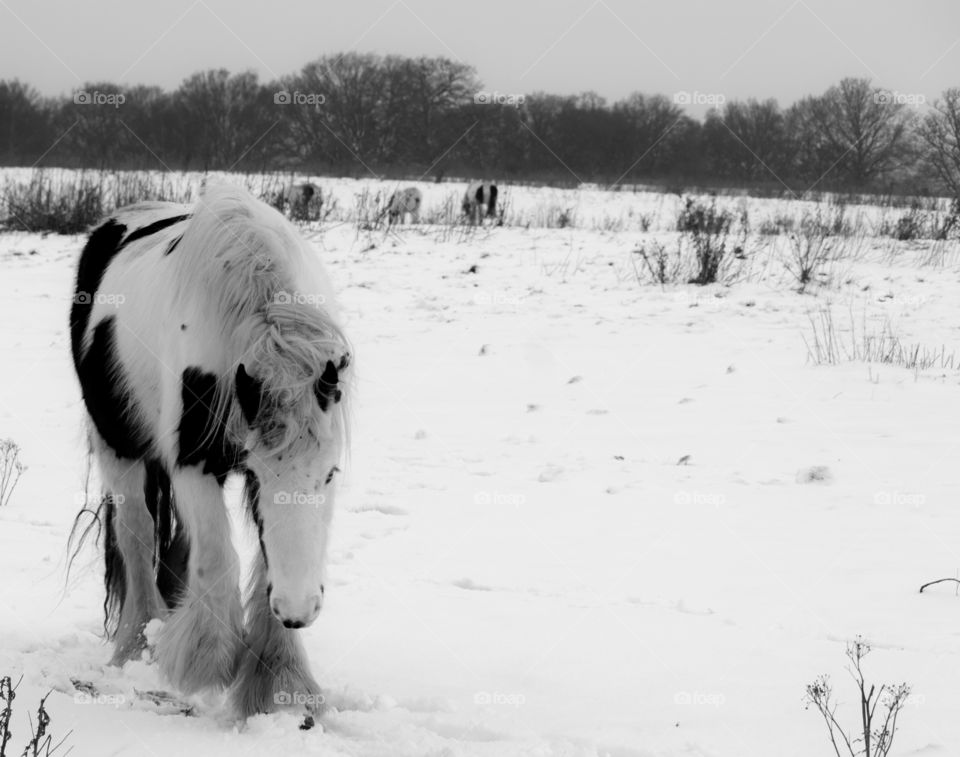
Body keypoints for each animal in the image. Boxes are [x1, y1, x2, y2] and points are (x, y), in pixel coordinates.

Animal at [69, 183, 352, 720]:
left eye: (330, 476)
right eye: (258, 475)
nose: (300, 610)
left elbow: (262, 561)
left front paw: (280, 682)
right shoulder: (193, 464)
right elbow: (219, 560)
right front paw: (205, 662)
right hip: (117, 448)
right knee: (137, 535)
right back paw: (137, 646)